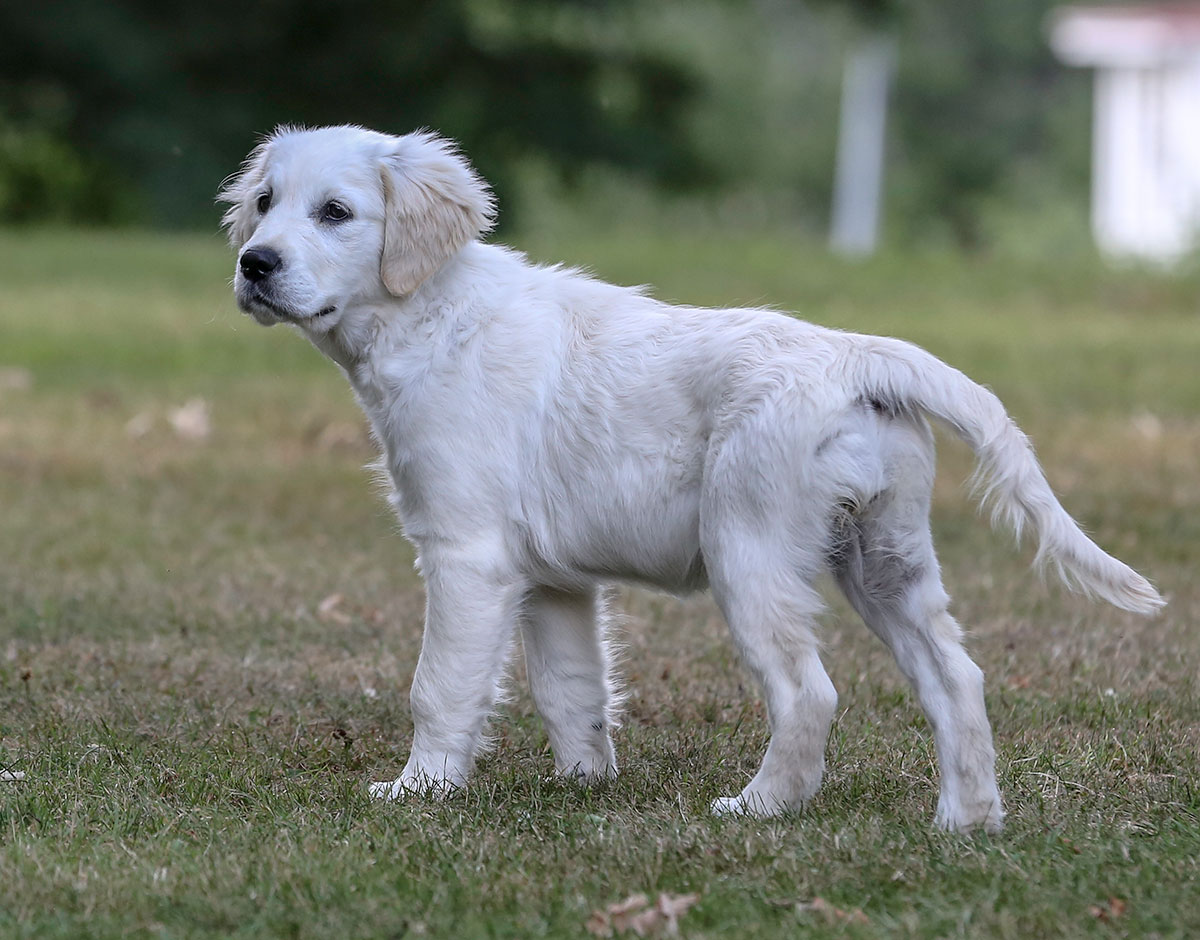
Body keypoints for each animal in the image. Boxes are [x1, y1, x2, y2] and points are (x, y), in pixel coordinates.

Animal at [218, 123, 1161, 830]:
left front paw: (419, 790)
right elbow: (572, 691)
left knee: (809, 693)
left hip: (750, 548)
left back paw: (761, 807)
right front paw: (584, 785)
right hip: (886, 556)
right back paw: (967, 821)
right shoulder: (552, 581)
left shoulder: (465, 555)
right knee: (957, 679)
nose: (254, 263)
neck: (431, 314)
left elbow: (439, 687)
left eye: (336, 212)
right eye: (265, 204)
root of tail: (857, 355)